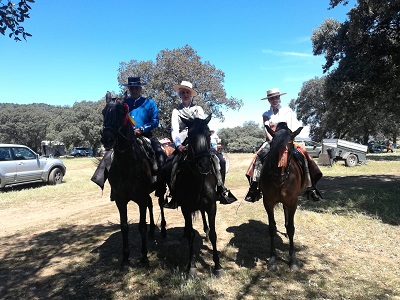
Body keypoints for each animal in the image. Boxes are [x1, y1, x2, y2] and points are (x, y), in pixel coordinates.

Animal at [101, 91, 168, 268]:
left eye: (121, 112)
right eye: (103, 112)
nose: (107, 139)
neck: (127, 164)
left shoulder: (140, 198)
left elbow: (141, 227)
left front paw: (144, 257)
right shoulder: (120, 199)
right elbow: (124, 227)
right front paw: (125, 258)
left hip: (160, 188)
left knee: (160, 204)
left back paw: (163, 230)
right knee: (152, 205)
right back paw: (152, 231)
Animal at [173, 115, 223, 276]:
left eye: (208, 135)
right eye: (190, 135)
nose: (204, 165)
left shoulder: (211, 206)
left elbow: (213, 234)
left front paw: (218, 266)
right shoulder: (186, 208)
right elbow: (191, 235)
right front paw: (192, 266)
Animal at [258, 122, 304, 272]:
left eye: (291, 147)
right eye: (272, 147)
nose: (279, 177)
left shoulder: (293, 202)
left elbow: (291, 228)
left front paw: (293, 259)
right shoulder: (268, 202)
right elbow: (272, 228)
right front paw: (272, 259)